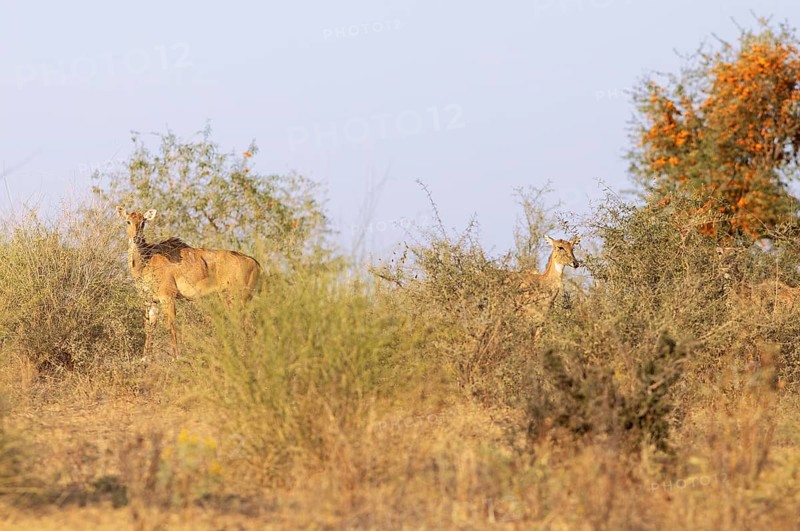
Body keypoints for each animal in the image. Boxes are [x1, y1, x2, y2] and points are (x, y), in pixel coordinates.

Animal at [116, 207, 261, 356]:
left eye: (143, 222)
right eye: (128, 221)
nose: (136, 238)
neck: (146, 261)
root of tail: (255, 263)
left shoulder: (167, 296)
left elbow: (170, 324)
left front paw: (175, 357)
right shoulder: (151, 300)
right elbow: (149, 326)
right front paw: (145, 357)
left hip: (236, 298)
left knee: (246, 325)